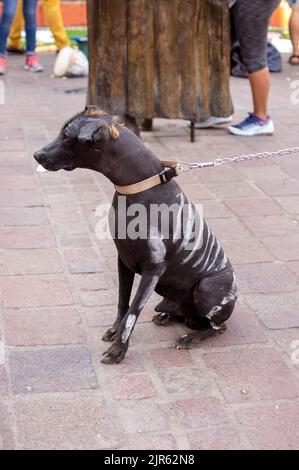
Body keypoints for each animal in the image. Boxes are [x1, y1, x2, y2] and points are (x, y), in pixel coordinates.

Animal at [34, 106, 238, 364]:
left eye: (67, 137)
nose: (36, 155)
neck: (138, 188)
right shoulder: (123, 260)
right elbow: (123, 302)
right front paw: (114, 331)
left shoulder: (153, 270)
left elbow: (132, 312)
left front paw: (119, 350)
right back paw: (169, 316)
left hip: (208, 289)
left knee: (217, 327)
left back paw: (191, 337)